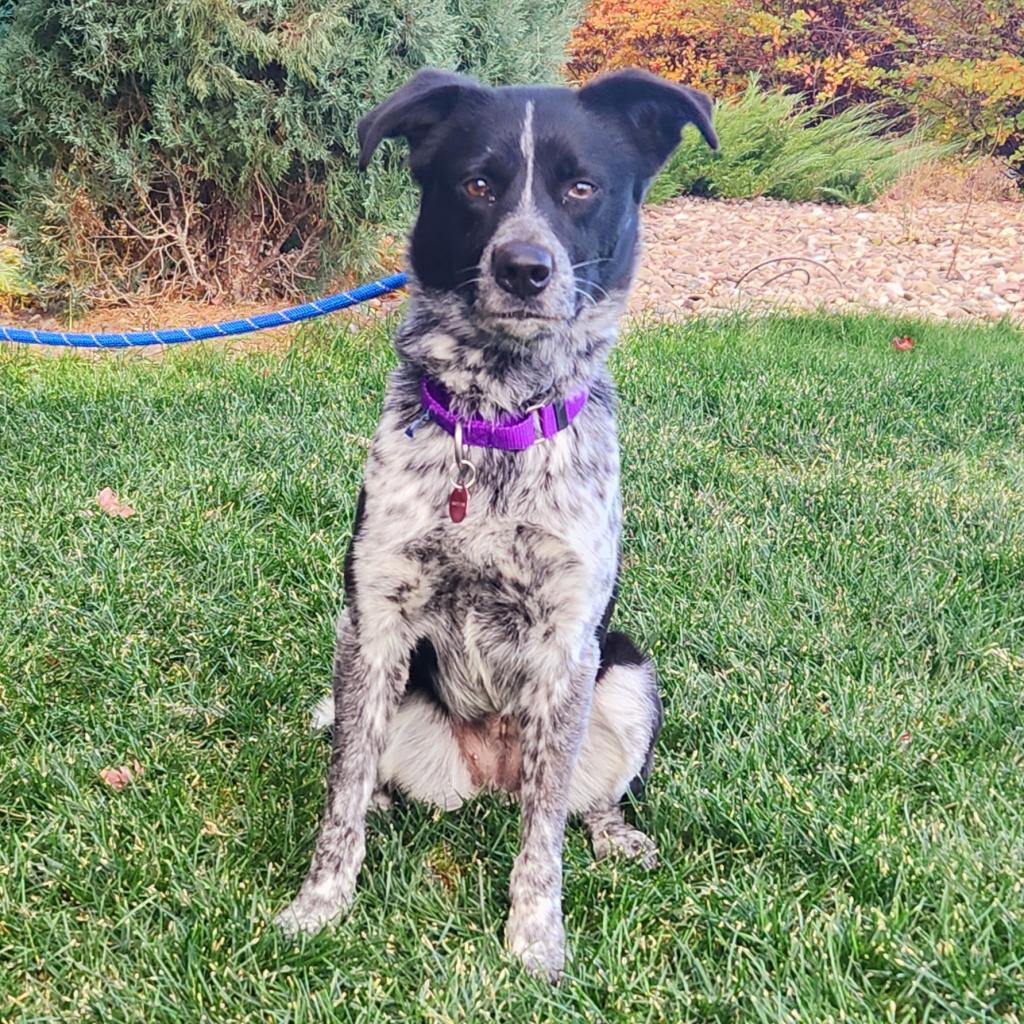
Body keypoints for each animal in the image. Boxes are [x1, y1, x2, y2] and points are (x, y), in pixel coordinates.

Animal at [276, 68, 716, 978]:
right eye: (477, 184)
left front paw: (536, 938)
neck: (497, 417)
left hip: (626, 674)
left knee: (581, 800)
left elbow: (544, 834)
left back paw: (616, 837)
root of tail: (489, 779)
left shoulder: (570, 644)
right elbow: (341, 802)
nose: (524, 267)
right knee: (369, 768)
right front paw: (319, 905)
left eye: (581, 187)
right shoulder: (371, 624)